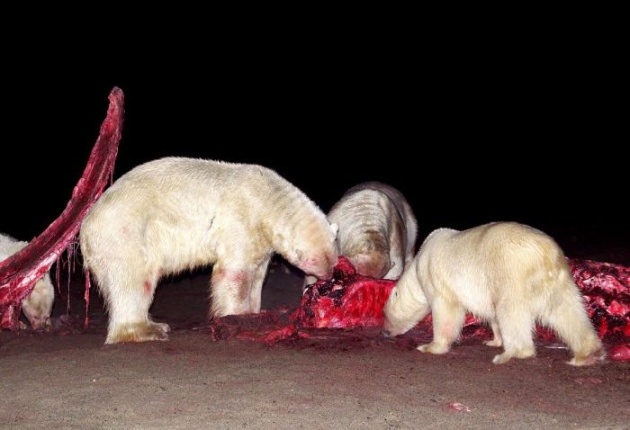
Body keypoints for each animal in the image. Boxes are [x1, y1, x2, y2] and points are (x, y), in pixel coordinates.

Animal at [81, 156, 344, 344]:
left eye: (334, 260)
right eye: (318, 264)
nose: (330, 277)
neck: (269, 198)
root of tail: (86, 225)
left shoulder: (261, 240)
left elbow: (257, 274)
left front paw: (254, 312)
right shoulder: (242, 218)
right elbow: (235, 272)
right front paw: (236, 317)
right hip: (126, 232)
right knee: (134, 280)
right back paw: (148, 329)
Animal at [382, 222, 608, 366]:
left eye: (385, 314)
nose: (385, 332)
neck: (419, 262)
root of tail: (545, 253)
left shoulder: (437, 277)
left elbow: (447, 310)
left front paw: (430, 346)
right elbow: (492, 315)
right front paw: (493, 340)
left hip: (511, 273)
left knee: (511, 311)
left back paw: (513, 353)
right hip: (558, 280)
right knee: (568, 311)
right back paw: (588, 354)